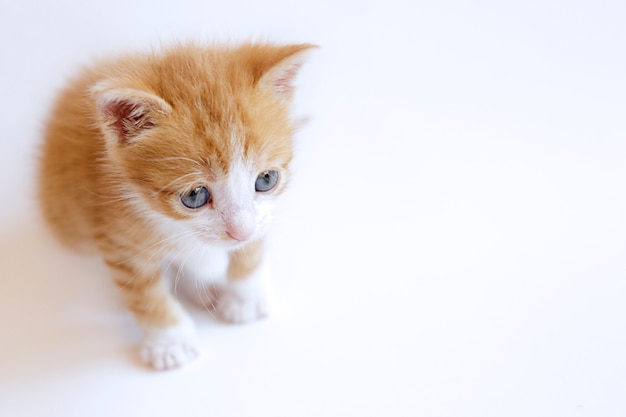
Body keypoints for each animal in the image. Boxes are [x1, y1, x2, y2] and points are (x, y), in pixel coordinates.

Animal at [37, 41, 312, 368]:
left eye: (266, 179)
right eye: (194, 196)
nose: (239, 233)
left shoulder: (260, 215)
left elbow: (252, 246)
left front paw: (246, 297)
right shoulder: (116, 237)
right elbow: (144, 292)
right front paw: (169, 342)